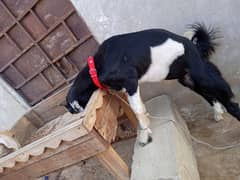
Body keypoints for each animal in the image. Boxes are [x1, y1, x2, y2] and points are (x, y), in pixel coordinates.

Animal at [65, 23, 240, 146]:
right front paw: (146, 130)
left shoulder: (131, 81)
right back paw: (218, 113)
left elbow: (137, 109)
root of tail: (194, 46)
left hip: (202, 75)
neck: (97, 65)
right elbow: (141, 108)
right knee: (210, 95)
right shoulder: (129, 88)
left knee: (227, 96)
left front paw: (144, 136)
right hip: (188, 79)